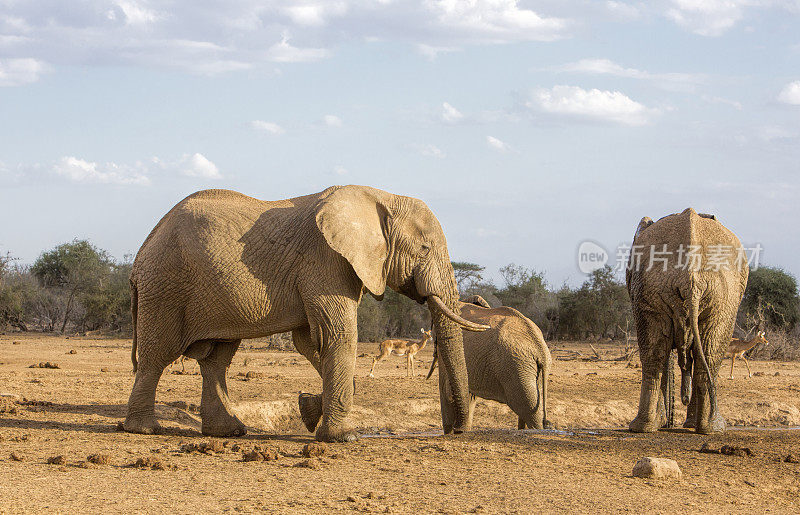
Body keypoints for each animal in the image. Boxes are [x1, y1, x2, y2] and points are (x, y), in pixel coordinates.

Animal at [124, 187, 488, 442]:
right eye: (424, 249)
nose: (455, 431)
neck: (381, 197)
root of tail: (141, 252)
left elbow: (310, 342)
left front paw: (309, 410)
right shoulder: (326, 261)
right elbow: (338, 335)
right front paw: (344, 437)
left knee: (216, 359)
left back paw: (229, 431)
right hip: (165, 287)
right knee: (158, 354)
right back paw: (143, 429)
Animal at [428, 296, 552, 434]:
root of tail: (540, 347)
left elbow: (446, 391)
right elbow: (468, 396)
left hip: (516, 368)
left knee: (528, 411)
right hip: (527, 369)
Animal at [624, 208, 752, 434]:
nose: (669, 423)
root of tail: (691, 277)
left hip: (699, 293)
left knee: (663, 355)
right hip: (673, 290)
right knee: (695, 354)